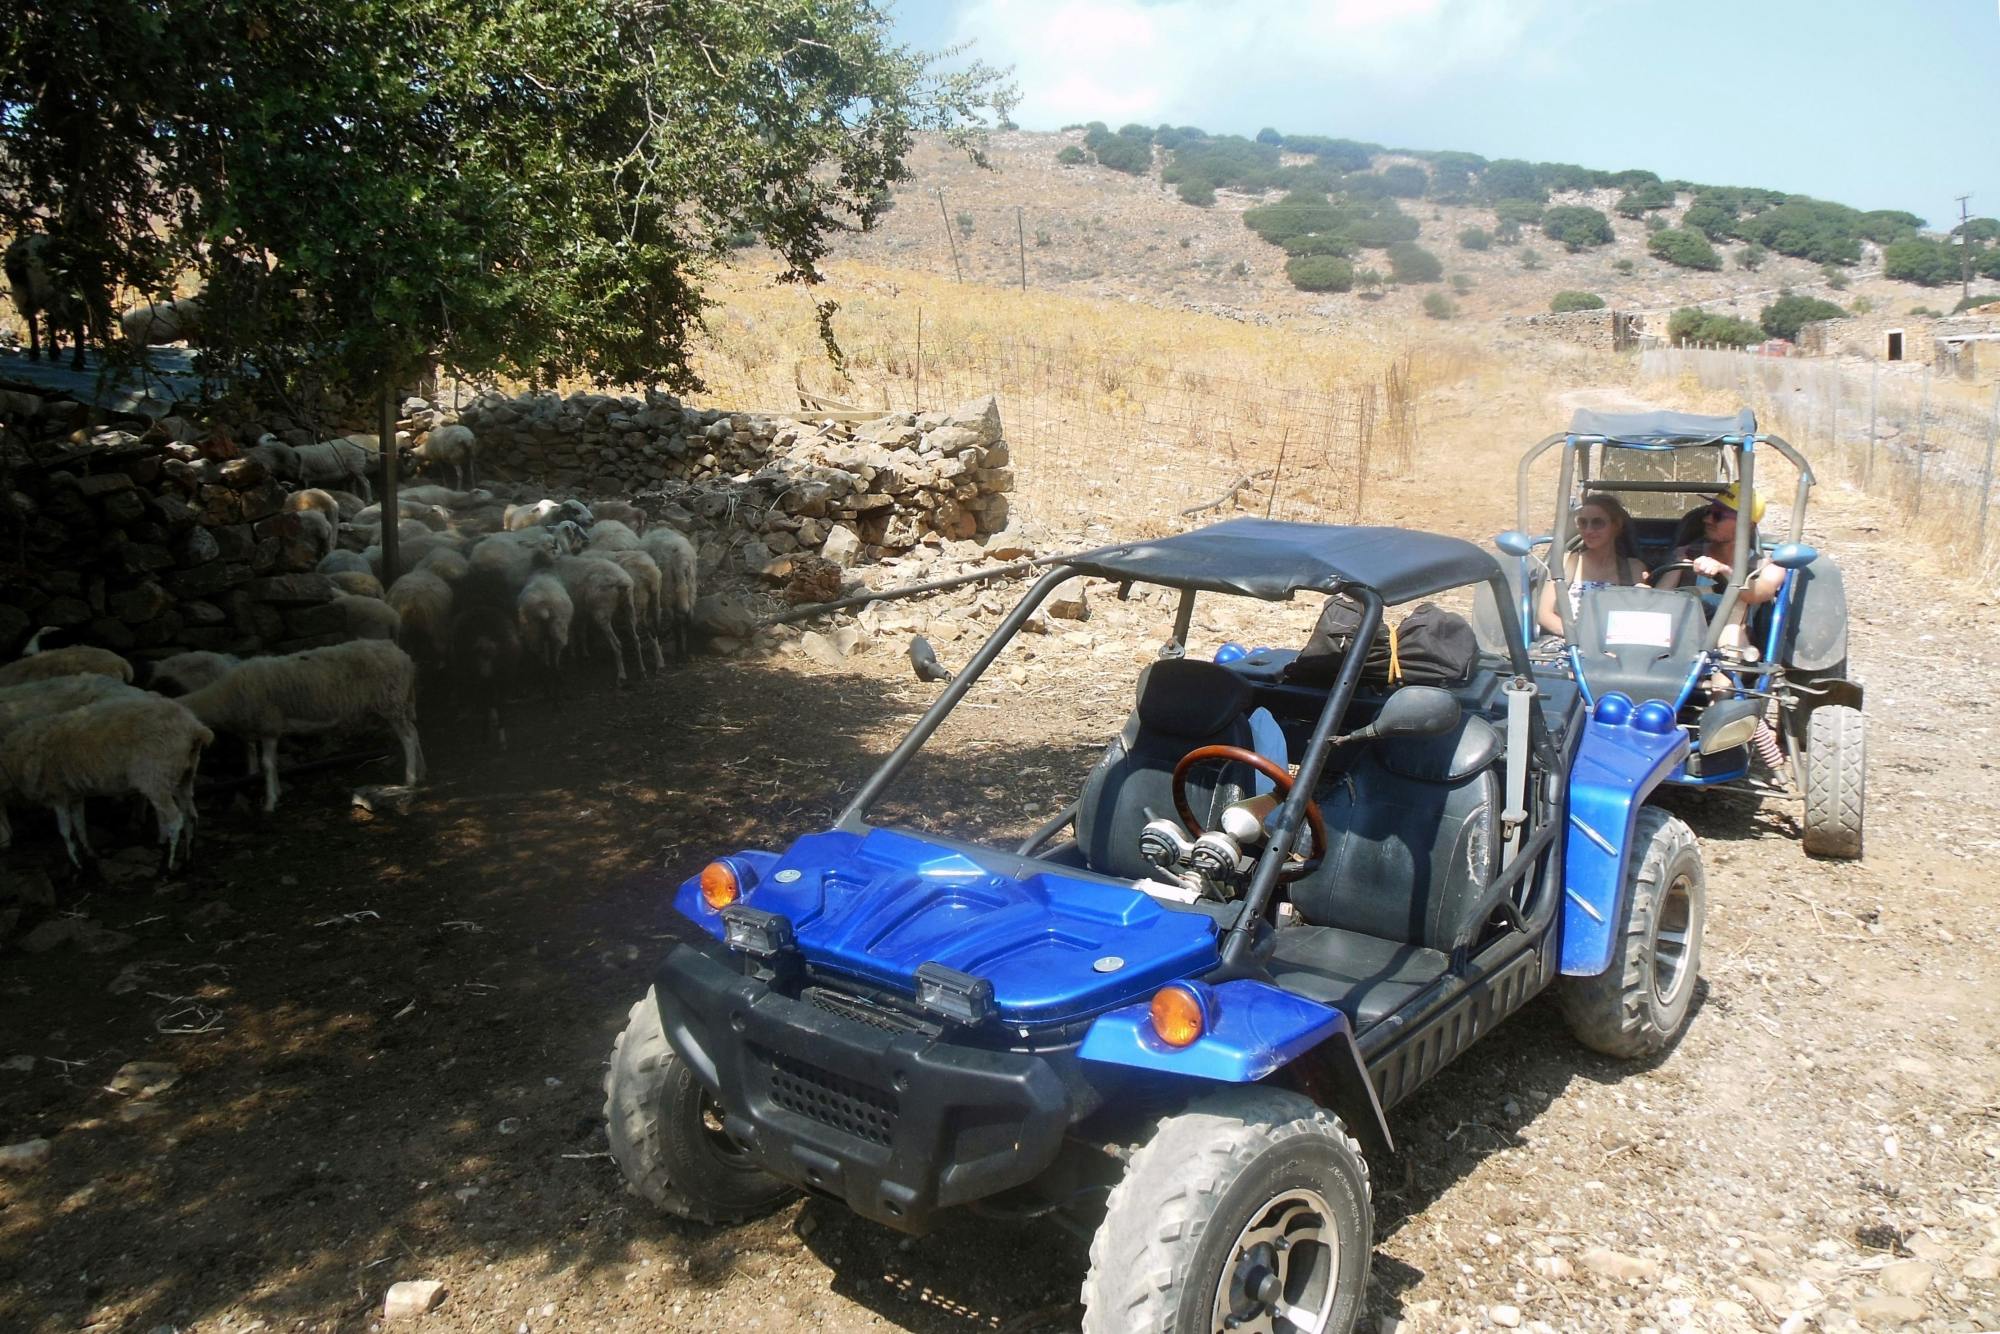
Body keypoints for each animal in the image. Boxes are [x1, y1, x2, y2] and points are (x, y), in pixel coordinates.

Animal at [0, 696, 213, 872]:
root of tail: (194, 728)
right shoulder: (74, 794)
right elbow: (80, 824)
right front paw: (88, 852)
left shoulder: (57, 792)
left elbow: (66, 831)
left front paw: (77, 864)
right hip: (184, 775)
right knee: (191, 816)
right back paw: (188, 861)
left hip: (156, 778)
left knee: (175, 820)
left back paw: (167, 867)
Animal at [182, 640, 428, 816]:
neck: (224, 697)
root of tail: (404, 657)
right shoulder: (267, 728)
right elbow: (269, 762)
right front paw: (276, 791)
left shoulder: (269, 724)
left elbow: (267, 763)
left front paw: (270, 802)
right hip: (399, 703)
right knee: (415, 733)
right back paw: (421, 770)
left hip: (391, 702)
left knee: (407, 738)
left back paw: (410, 778)